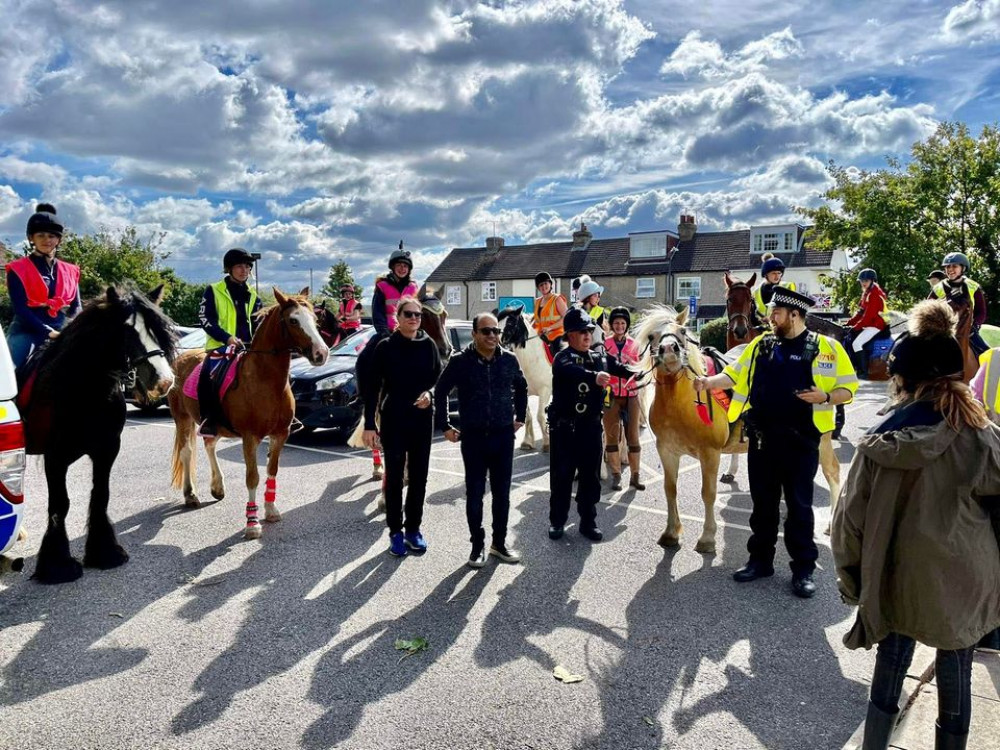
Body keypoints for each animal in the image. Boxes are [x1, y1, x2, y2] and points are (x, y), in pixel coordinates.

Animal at [22, 284, 177, 584]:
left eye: (157, 330)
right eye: (127, 331)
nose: (164, 381)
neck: (83, 391)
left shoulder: (107, 449)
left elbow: (100, 496)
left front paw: (104, 551)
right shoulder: (54, 458)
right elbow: (60, 504)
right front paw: (57, 565)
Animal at [169, 288, 328, 540]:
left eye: (315, 319)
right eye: (293, 320)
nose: (321, 353)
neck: (265, 381)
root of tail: (181, 359)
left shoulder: (280, 435)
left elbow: (272, 471)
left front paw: (271, 509)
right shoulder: (250, 438)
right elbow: (252, 477)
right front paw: (252, 523)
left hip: (214, 424)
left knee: (210, 445)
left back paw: (217, 487)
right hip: (182, 419)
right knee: (186, 453)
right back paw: (190, 495)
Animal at [500, 306, 556, 452]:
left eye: (510, 322)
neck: (532, 359)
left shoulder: (545, 390)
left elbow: (540, 416)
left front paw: (547, 443)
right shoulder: (522, 391)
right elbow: (527, 417)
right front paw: (527, 442)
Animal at [636, 308, 840, 556]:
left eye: (682, 331)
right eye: (651, 337)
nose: (669, 350)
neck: (682, 403)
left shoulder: (710, 453)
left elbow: (708, 493)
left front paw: (707, 537)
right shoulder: (666, 451)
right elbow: (670, 489)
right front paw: (671, 532)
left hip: (822, 442)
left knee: (833, 473)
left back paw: (831, 523)